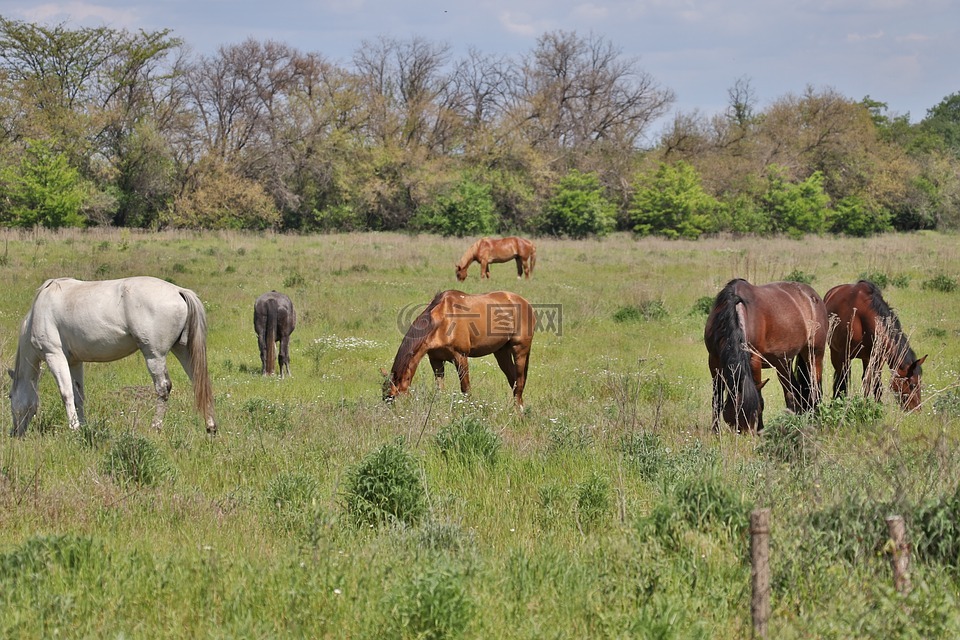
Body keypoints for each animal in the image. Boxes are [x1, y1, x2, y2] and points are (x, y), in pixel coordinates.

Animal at [7, 278, 218, 438]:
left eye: (9, 396)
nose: (14, 433)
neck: (38, 310)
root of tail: (179, 291)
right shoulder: (75, 362)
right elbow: (78, 395)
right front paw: (83, 427)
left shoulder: (54, 355)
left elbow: (66, 393)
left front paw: (74, 428)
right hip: (183, 351)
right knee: (199, 382)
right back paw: (211, 427)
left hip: (154, 356)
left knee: (163, 388)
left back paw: (155, 427)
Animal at [380, 288, 532, 404]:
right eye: (385, 398)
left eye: (393, 397)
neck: (443, 321)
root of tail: (525, 303)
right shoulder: (435, 360)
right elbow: (440, 389)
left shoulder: (460, 357)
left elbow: (466, 389)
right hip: (501, 352)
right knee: (513, 381)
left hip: (520, 350)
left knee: (519, 383)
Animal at [700, 278, 828, 432]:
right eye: (734, 415)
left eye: (753, 413)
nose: (745, 433)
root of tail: (812, 296)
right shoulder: (714, 361)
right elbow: (717, 400)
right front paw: (715, 431)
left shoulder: (754, 360)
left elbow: (759, 398)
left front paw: (761, 430)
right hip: (783, 362)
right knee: (793, 392)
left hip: (814, 354)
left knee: (815, 390)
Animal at [820, 280, 928, 410]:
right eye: (912, 385)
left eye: (920, 383)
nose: (917, 409)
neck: (862, 318)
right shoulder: (844, 355)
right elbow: (844, 382)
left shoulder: (877, 358)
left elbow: (875, 385)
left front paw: (872, 405)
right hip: (836, 353)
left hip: (866, 358)